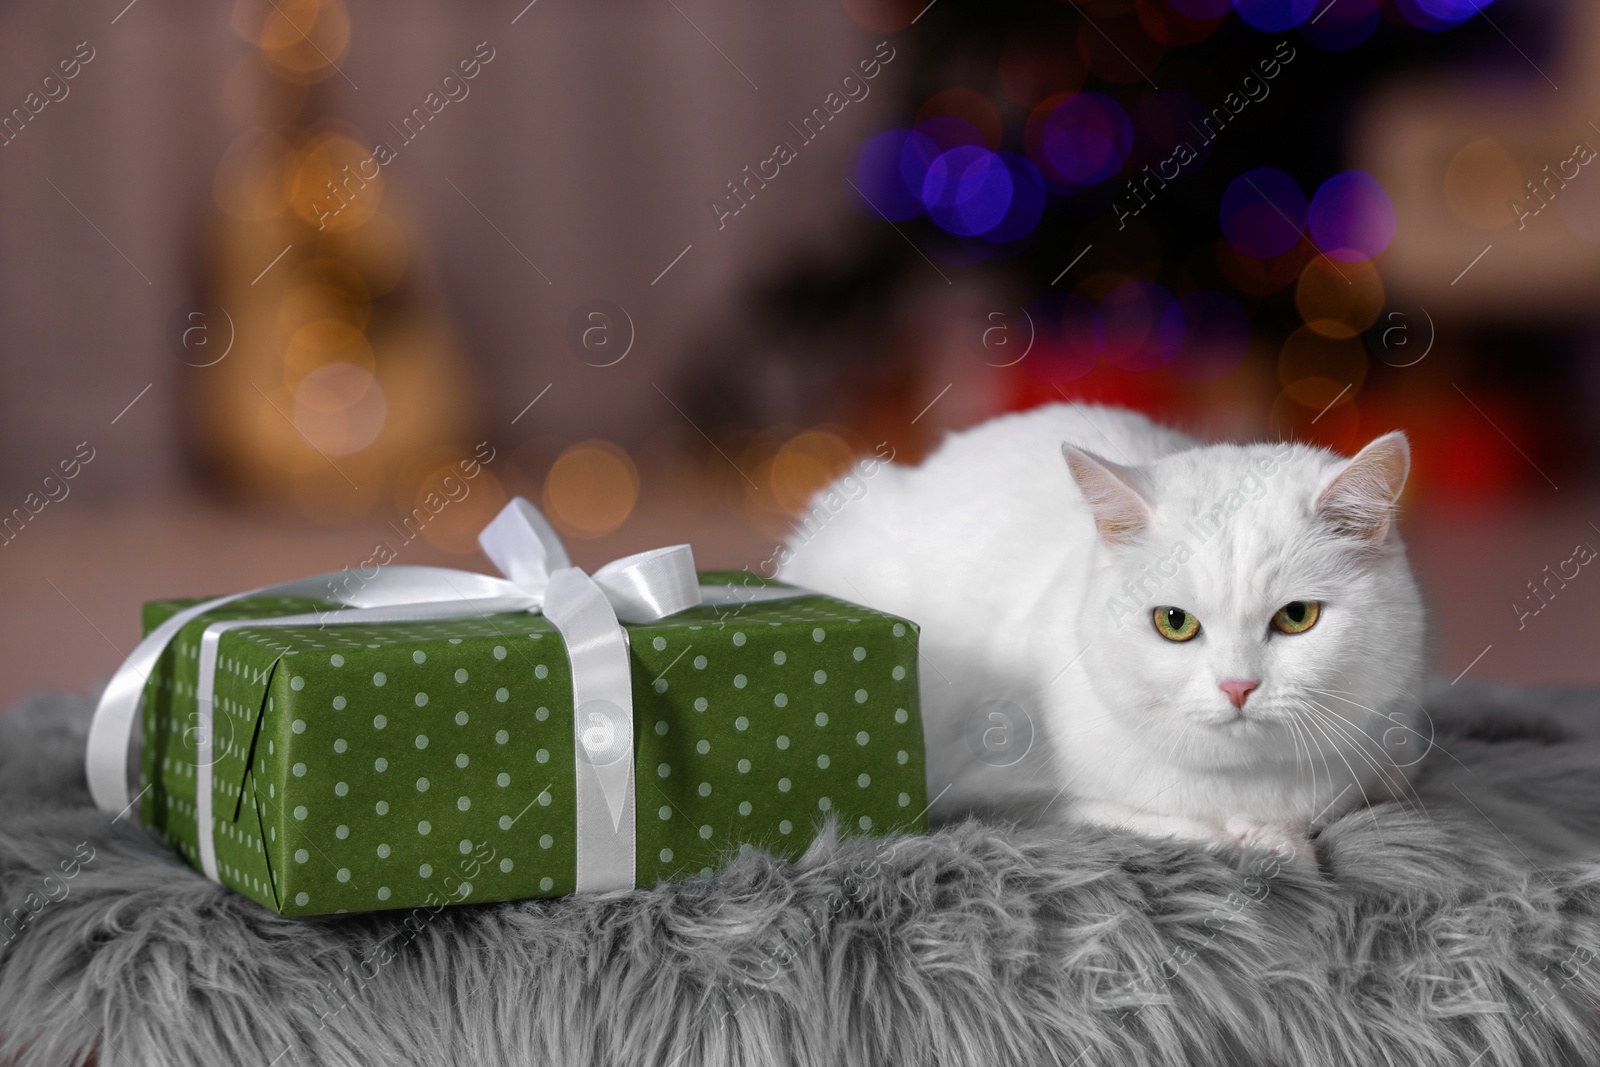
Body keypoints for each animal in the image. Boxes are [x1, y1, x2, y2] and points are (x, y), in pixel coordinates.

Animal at [774, 404, 1427, 863]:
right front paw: (1260, 839)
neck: (1248, 783)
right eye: (1174, 623)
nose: (1238, 686)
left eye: (1296, 617)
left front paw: (1277, 834)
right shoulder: (987, 793)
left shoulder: (1393, 748)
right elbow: (1154, 822)